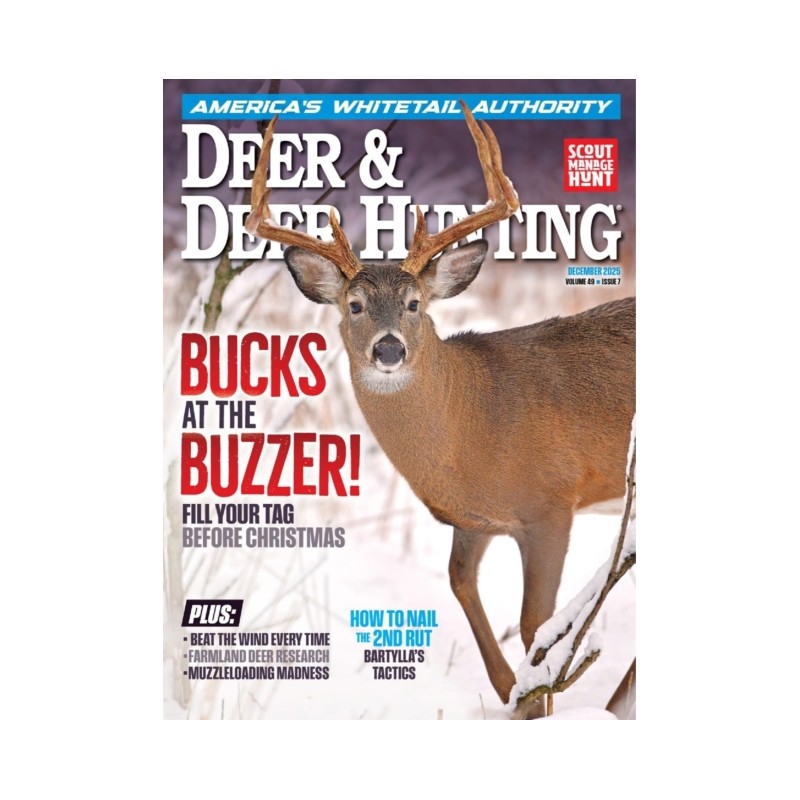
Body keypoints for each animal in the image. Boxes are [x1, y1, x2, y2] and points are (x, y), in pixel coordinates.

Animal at [244, 102, 635, 716]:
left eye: (414, 303)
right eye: (354, 305)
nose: (389, 350)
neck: (475, 423)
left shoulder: (553, 502)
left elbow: (536, 627)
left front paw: (541, 699)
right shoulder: (473, 521)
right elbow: (460, 584)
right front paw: (511, 692)